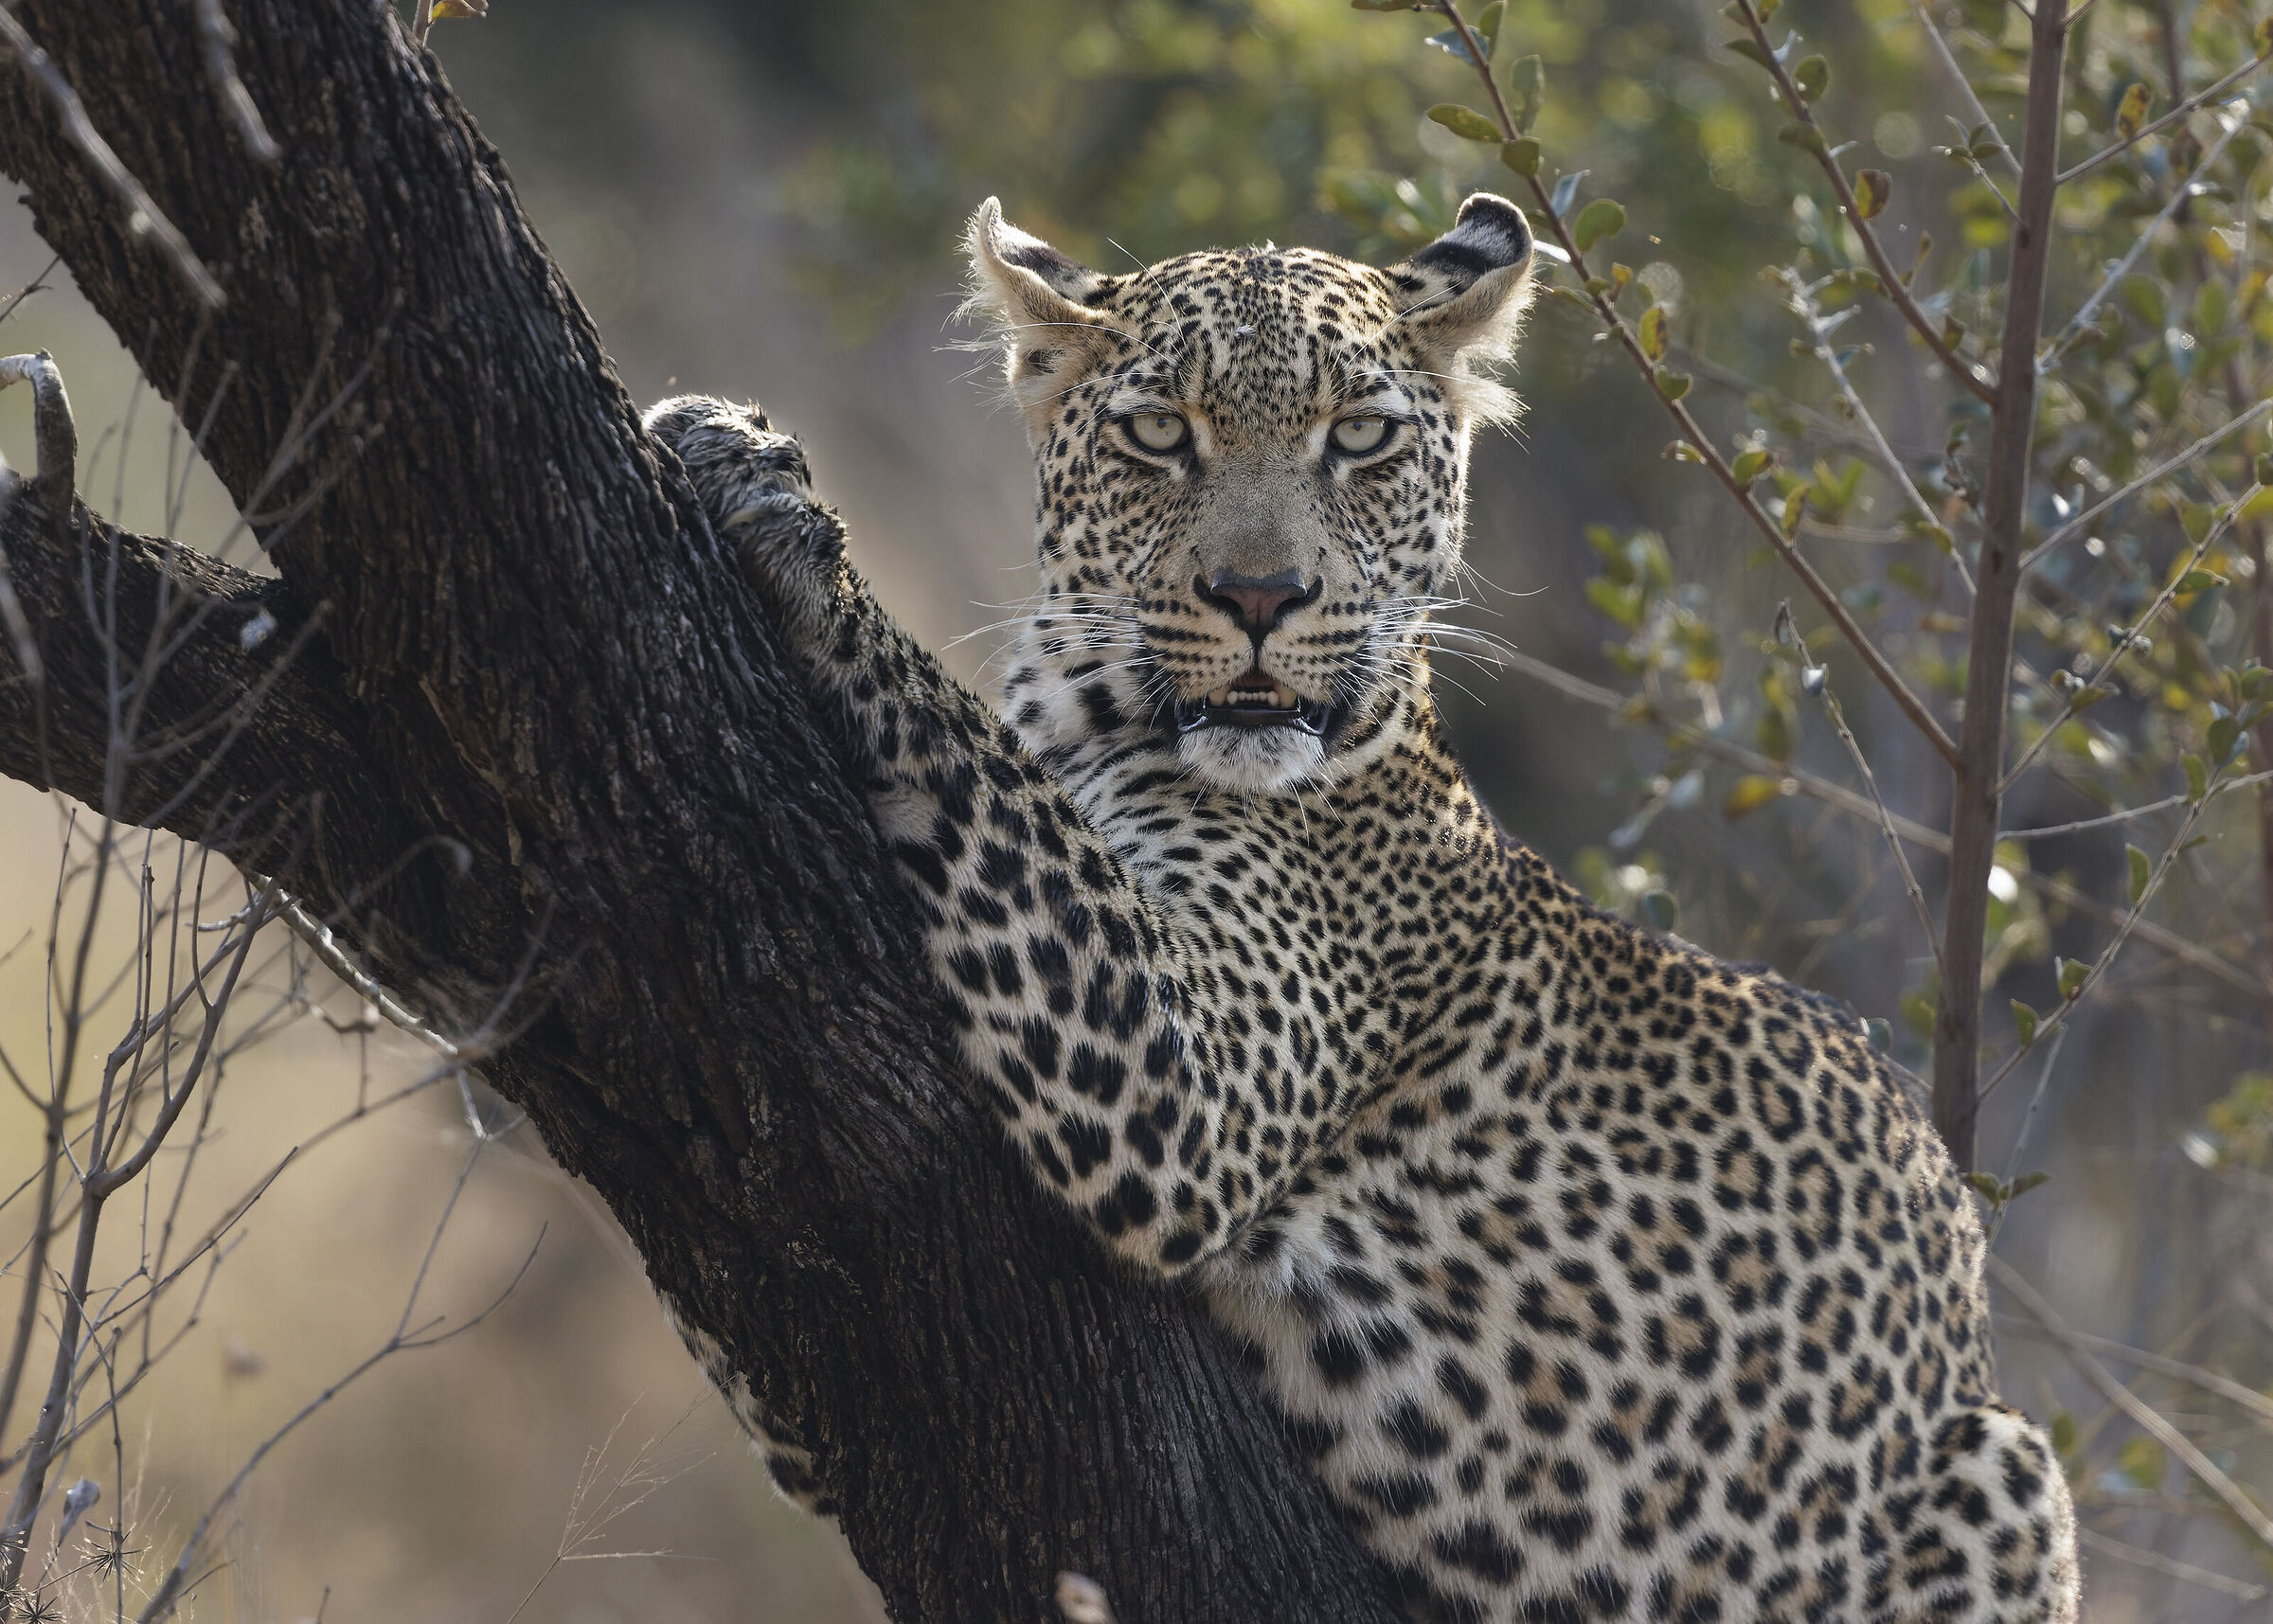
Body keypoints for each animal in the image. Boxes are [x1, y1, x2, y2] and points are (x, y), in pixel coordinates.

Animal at [643, 191, 2080, 1623]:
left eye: (1361, 438)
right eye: (1161, 433)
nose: (1261, 597)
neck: (1091, 720)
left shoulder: (1186, 1078)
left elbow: (977, 760)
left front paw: (776, 508)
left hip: (2006, 1462)